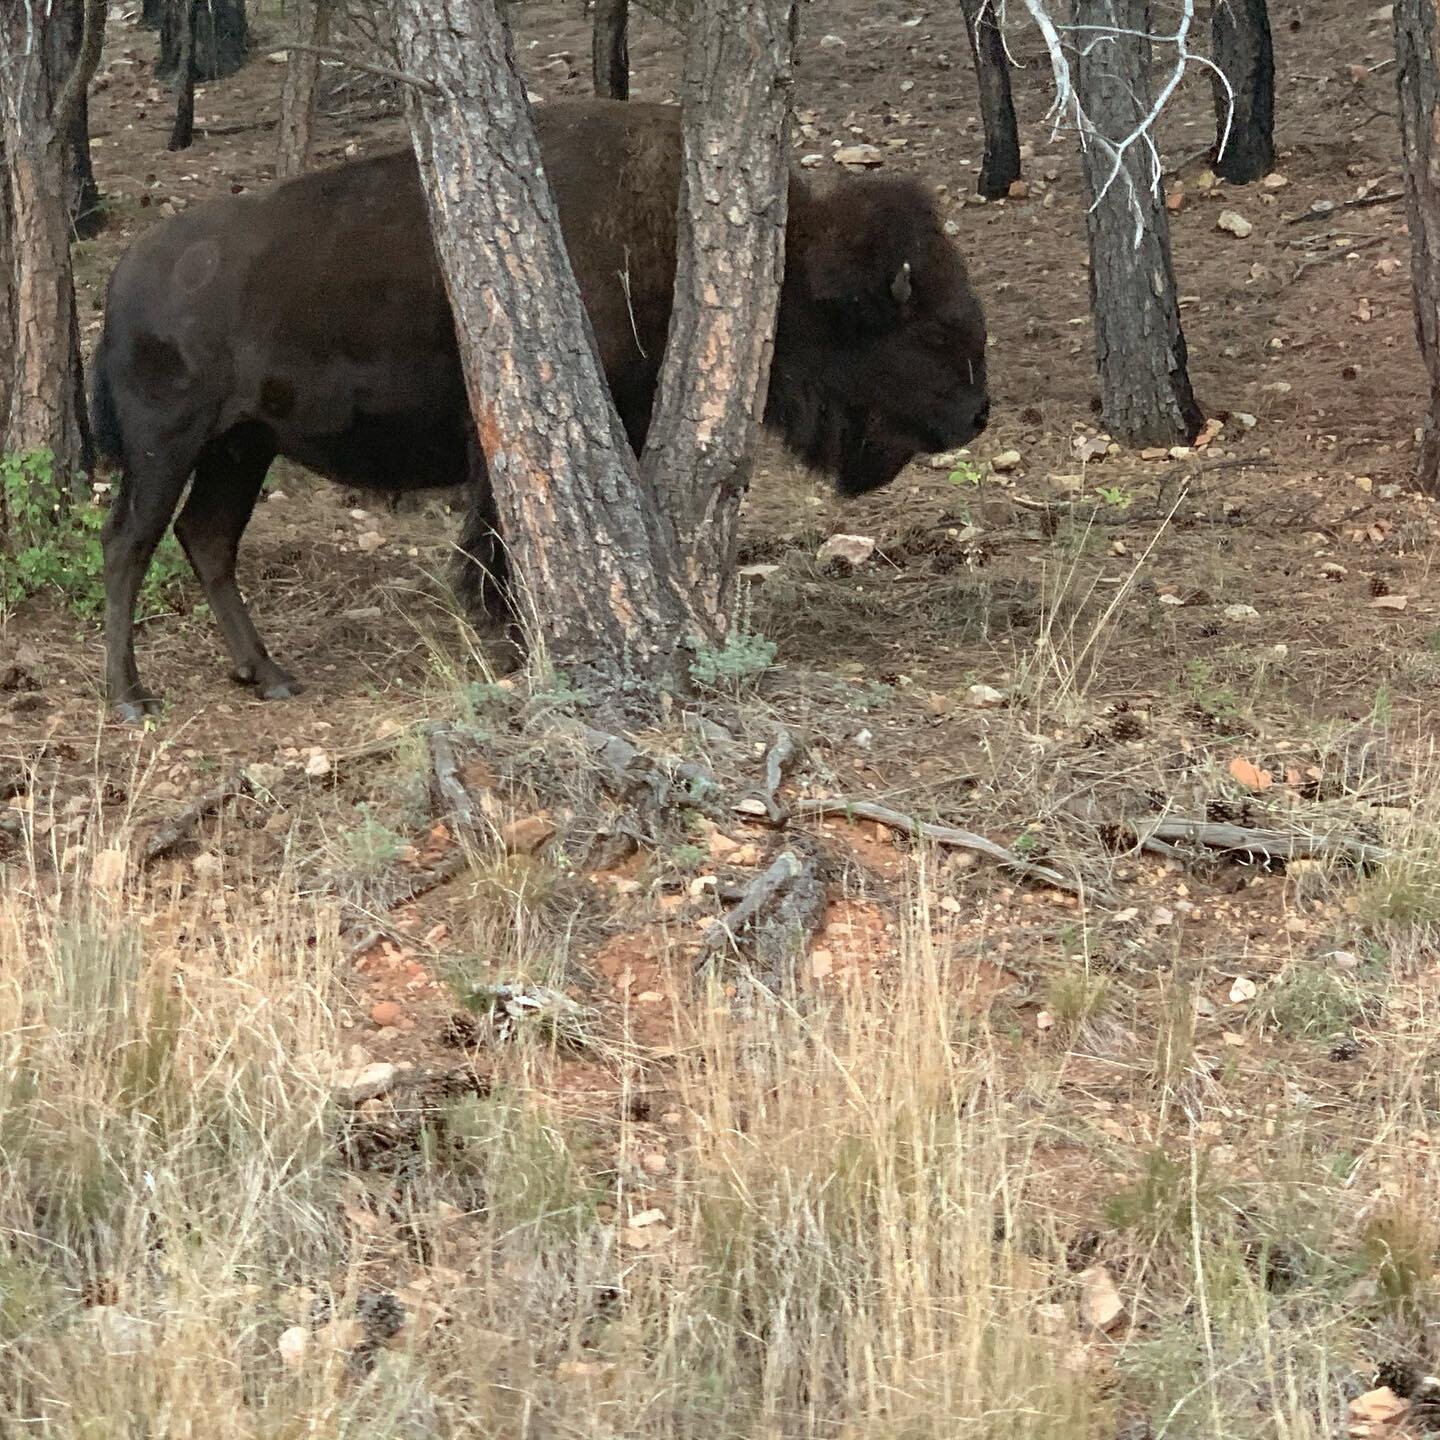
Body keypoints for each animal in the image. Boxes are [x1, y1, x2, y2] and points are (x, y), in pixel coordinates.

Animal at [90, 97, 990, 720]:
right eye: (932, 331)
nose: (979, 414)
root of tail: (127, 274)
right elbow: (498, 541)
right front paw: (514, 637)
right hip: (168, 444)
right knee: (130, 542)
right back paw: (131, 695)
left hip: (243, 446)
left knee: (208, 539)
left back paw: (269, 676)